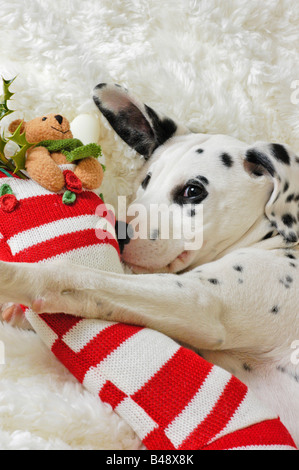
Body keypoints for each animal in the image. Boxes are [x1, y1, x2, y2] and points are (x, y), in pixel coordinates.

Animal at [0, 85, 299, 444]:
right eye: (146, 181)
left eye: (193, 191)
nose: (117, 230)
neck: (270, 239)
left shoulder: (197, 303)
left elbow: (76, 276)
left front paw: (12, 276)